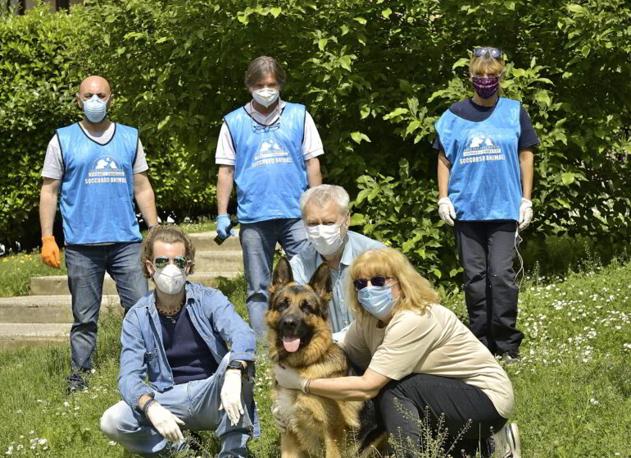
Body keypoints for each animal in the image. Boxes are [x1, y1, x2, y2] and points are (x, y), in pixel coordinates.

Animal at [268, 258, 366, 458]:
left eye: (307, 307)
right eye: (283, 304)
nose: (289, 324)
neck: (302, 365)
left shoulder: (332, 434)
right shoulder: (289, 433)